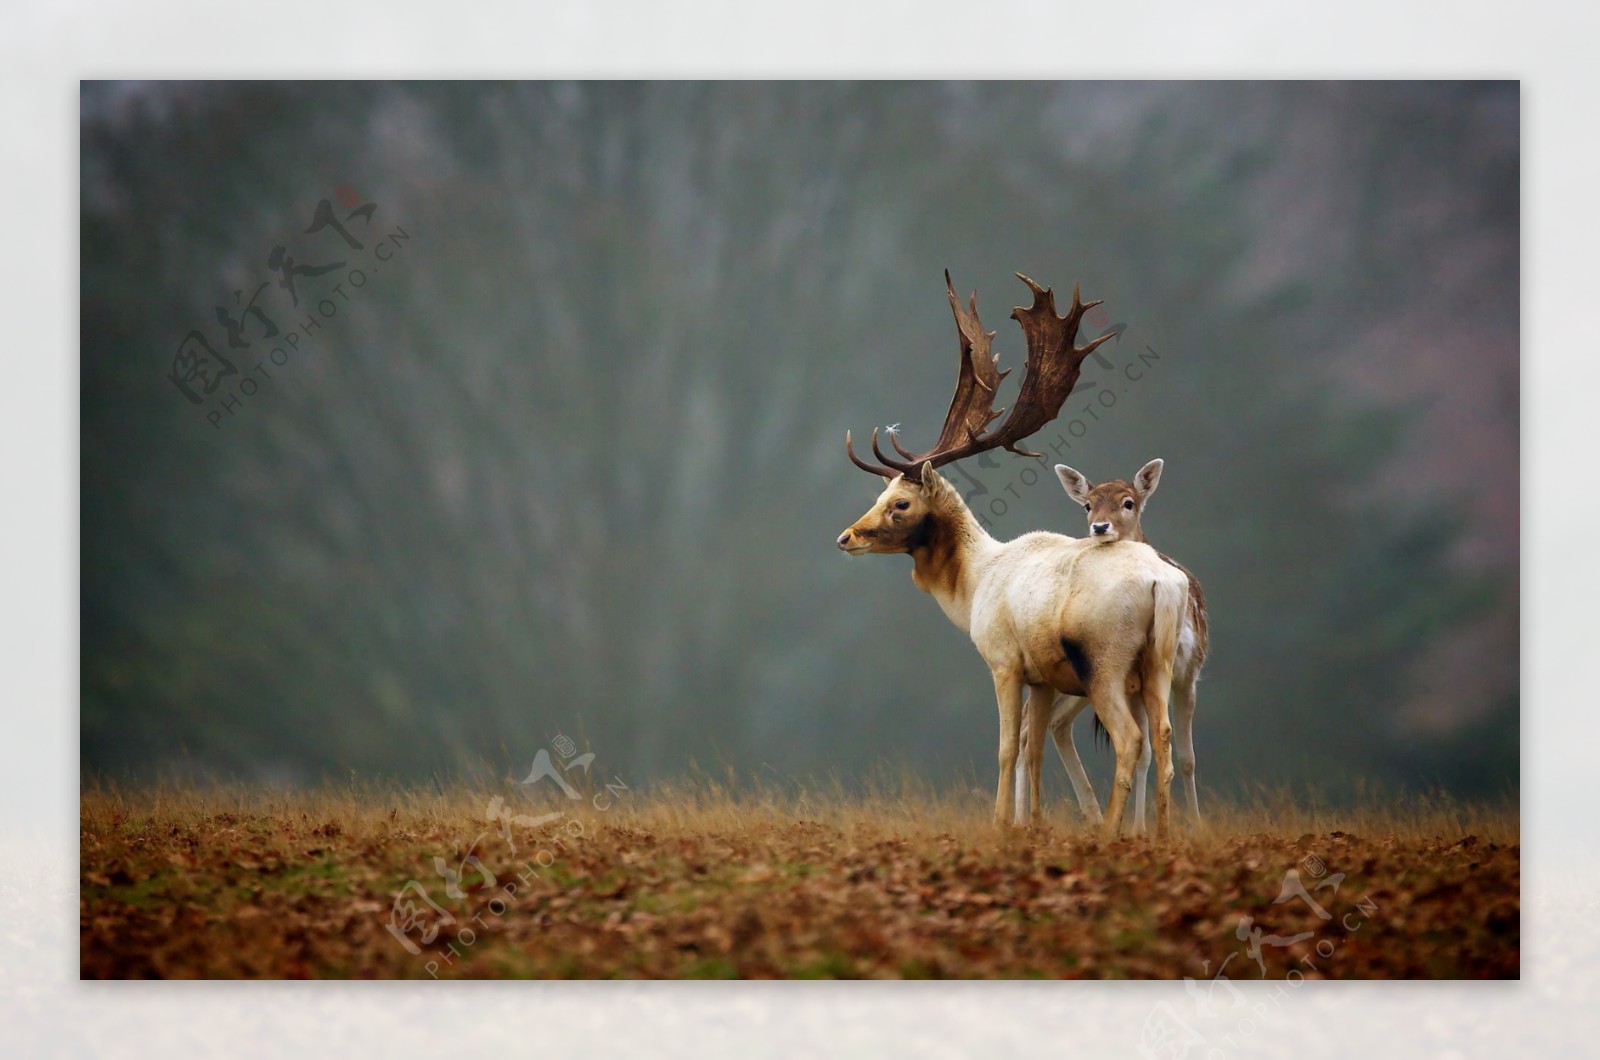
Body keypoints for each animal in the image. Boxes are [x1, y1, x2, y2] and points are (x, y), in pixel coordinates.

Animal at [838, 278, 1190, 845]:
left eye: (901, 503)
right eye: (882, 494)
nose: (845, 537)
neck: (975, 585)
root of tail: (1162, 582)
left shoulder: (1003, 660)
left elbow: (1007, 747)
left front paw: (1002, 822)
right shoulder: (1042, 675)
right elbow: (1034, 747)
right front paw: (1035, 823)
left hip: (1105, 662)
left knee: (1130, 739)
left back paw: (1109, 832)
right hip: (1158, 661)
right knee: (1163, 736)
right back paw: (1157, 834)